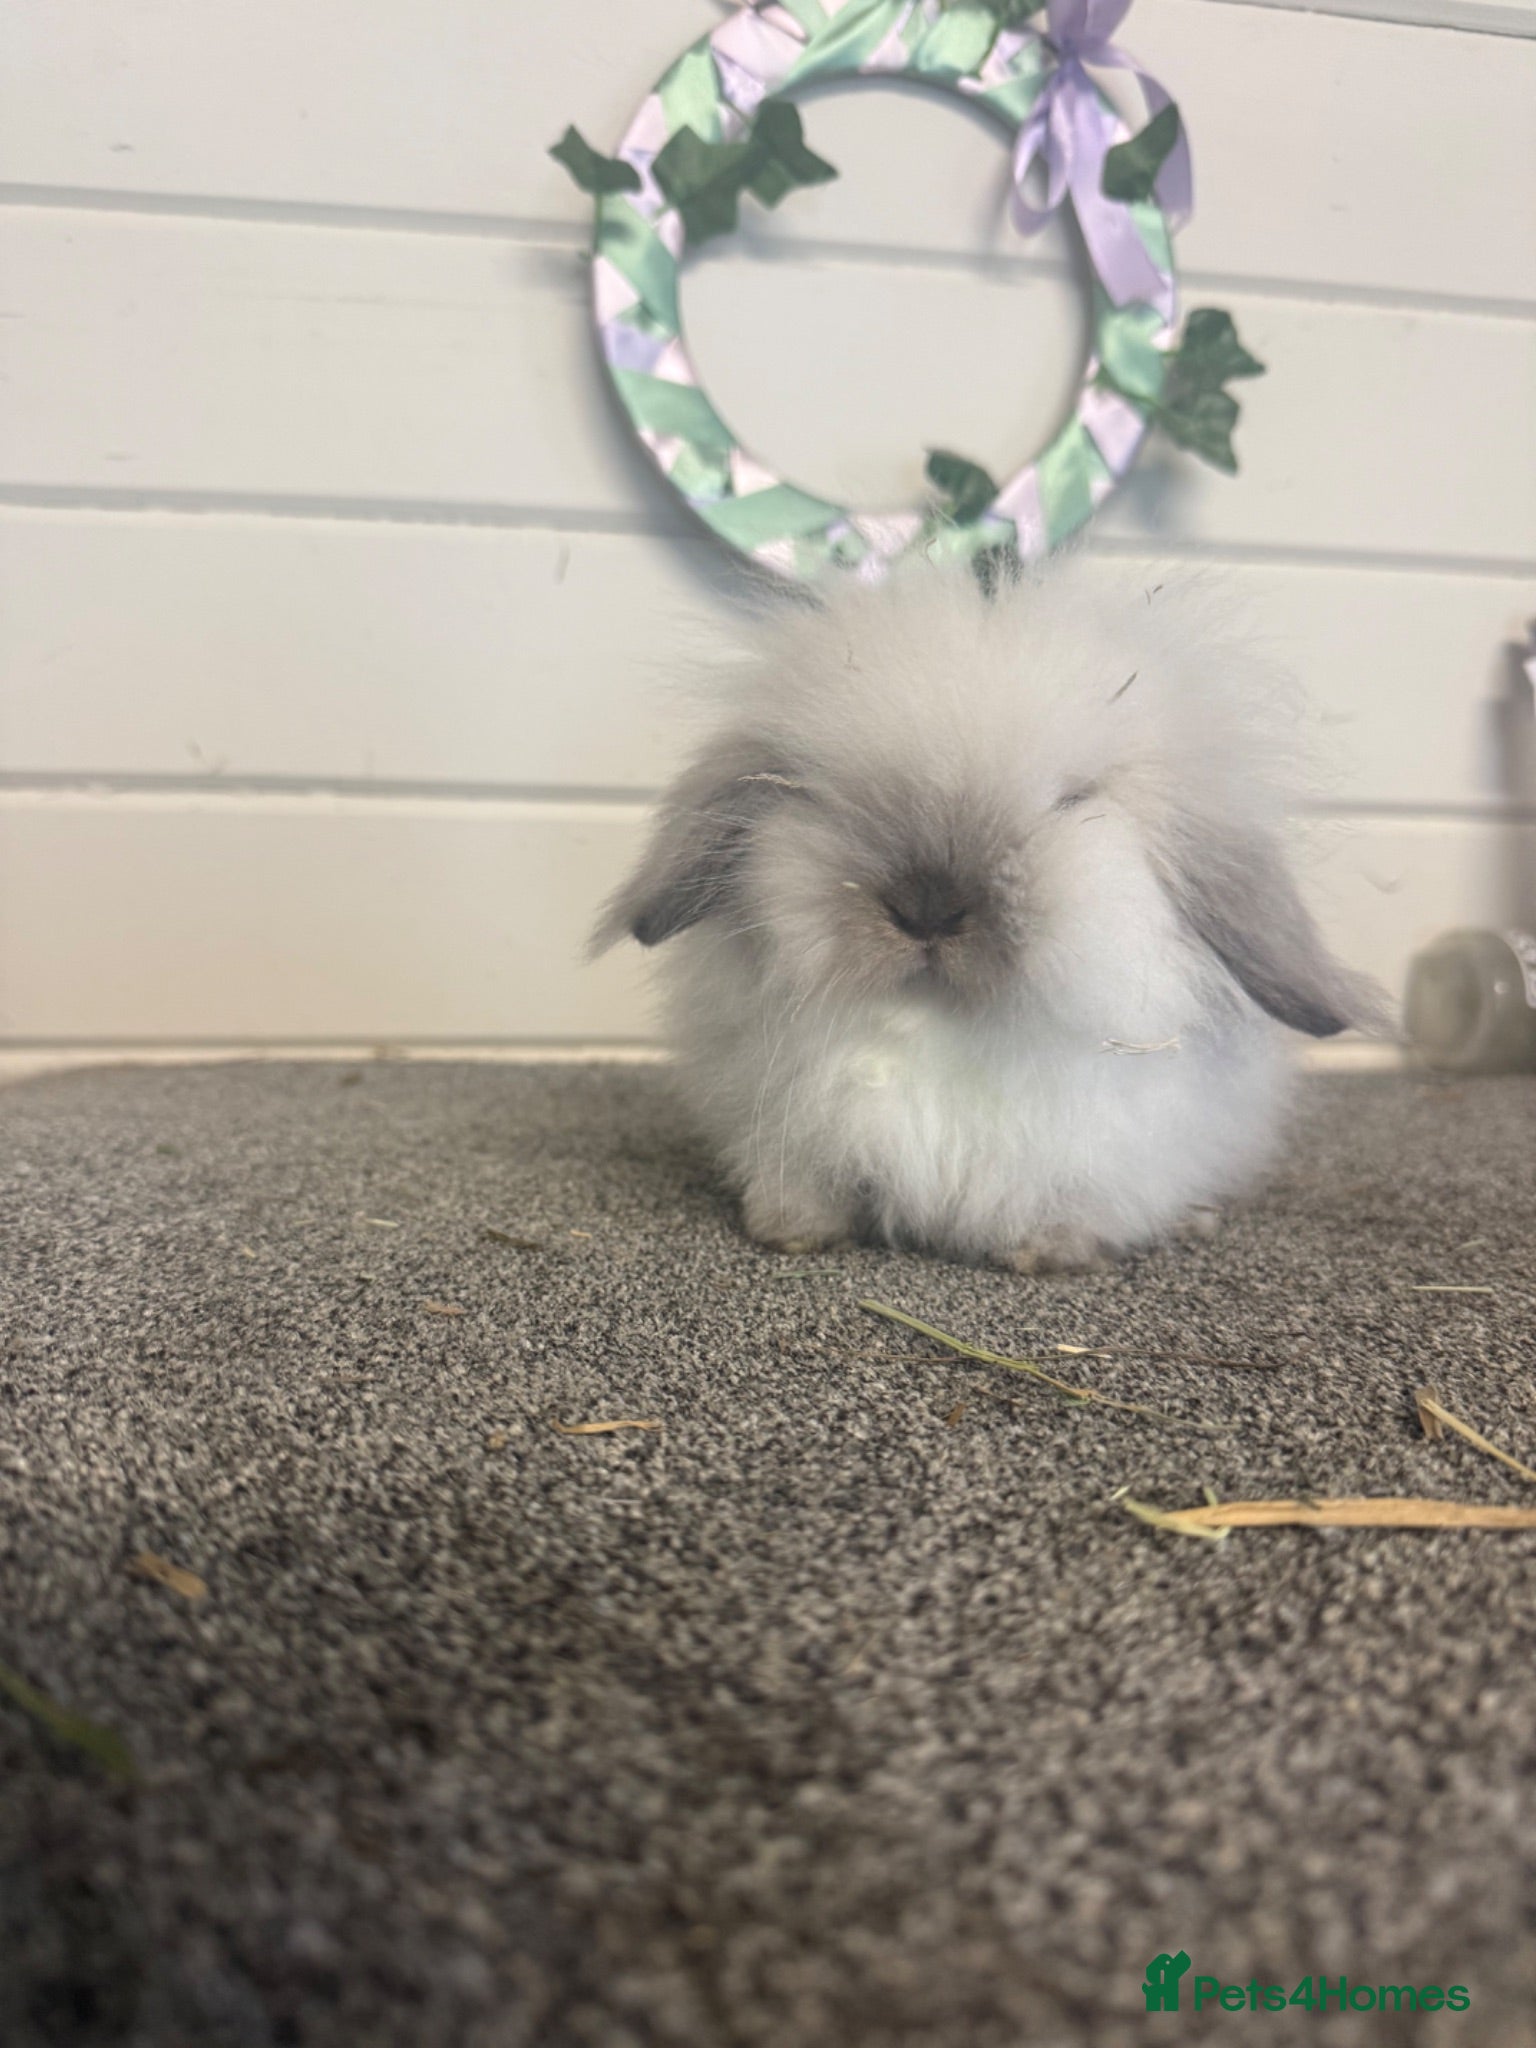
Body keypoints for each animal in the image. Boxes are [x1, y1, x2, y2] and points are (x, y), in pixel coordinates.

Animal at [591, 555, 1384, 1271]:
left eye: (1074, 800)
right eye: (821, 793)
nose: (928, 905)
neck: (942, 1025)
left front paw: (1042, 1253)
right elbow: (811, 1188)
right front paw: (790, 1231)